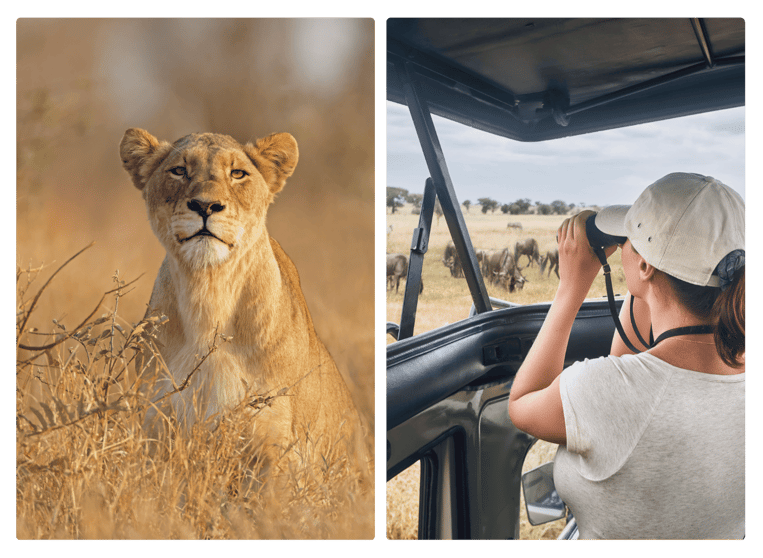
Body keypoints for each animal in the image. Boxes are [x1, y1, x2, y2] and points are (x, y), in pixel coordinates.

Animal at [119, 128, 365, 472]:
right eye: (179, 170)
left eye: (237, 174)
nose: (205, 206)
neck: (208, 295)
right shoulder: (157, 424)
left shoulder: (274, 438)